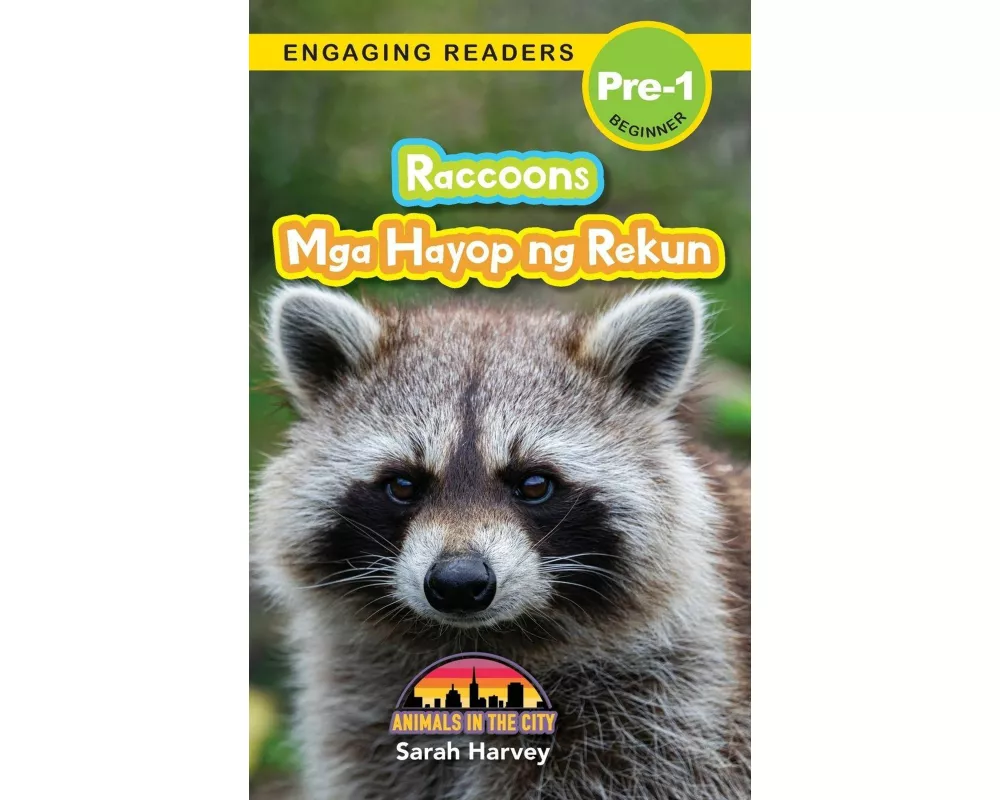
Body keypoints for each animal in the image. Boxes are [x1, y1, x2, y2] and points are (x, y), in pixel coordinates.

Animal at [252, 284, 750, 800]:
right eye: (403, 485)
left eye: (534, 484)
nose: (458, 582)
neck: (475, 640)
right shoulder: (362, 714)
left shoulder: (669, 715)